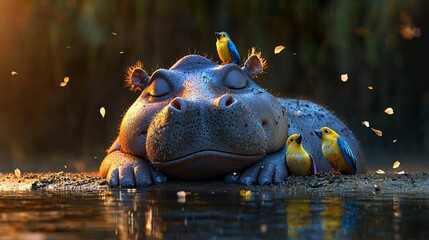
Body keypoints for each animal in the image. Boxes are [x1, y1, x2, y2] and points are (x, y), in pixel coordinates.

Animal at [99, 54, 364, 188]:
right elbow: (112, 156)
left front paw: (257, 176)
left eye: (238, 79)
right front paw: (131, 174)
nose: (201, 105)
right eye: (157, 87)